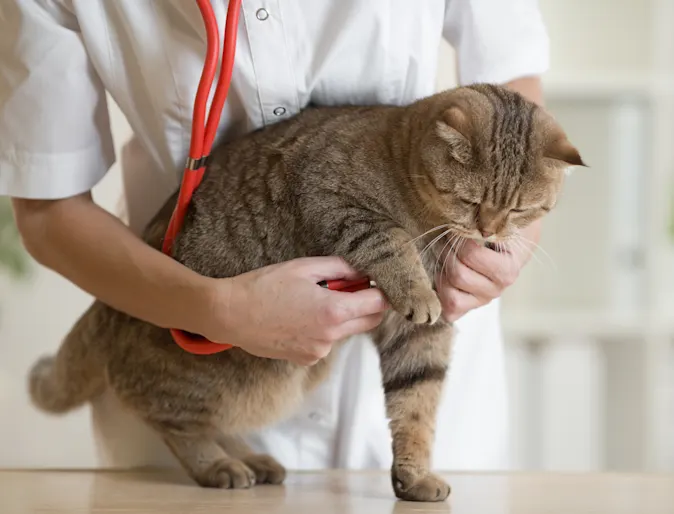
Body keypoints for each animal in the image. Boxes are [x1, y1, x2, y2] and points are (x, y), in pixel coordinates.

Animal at [28, 85, 580, 500]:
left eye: (520, 210)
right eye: (470, 199)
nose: (490, 230)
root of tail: (104, 308)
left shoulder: (419, 338)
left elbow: (417, 403)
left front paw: (415, 475)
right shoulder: (332, 199)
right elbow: (389, 242)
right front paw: (415, 284)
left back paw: (251, 458)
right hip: (204, 378)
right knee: (175, 424)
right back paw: (220, 466)